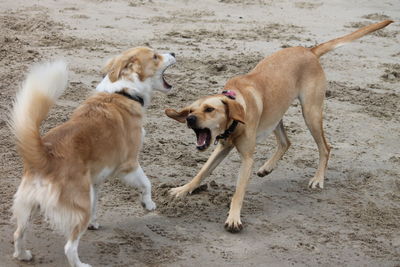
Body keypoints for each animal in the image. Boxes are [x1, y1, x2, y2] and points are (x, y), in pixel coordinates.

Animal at [9, 47, 175, 266]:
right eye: (155, 56)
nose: (174, 53)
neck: (123, 93)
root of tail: (45, 156)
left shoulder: (94, 182)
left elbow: (97, 203)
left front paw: (94, 224)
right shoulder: (129, 165)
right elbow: (147, 183)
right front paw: (148, 204)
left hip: (31, 205)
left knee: (18, 234)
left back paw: (23, 255)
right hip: (80, 207)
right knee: (69, 247)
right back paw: (80, 264)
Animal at [164, 20, 392, 232]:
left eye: (209, 109)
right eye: (191, 111)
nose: (190, 120)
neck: (237, 109)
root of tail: (309, 51)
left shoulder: (247, 158)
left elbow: (238, 191)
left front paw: (234, 217)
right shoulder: (222, 147)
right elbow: (202, 172)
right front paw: (183, 189)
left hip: (311, 113)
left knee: (325, 148)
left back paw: (318, 179)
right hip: (276, 115)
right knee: (286, 142)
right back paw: (267, 167)